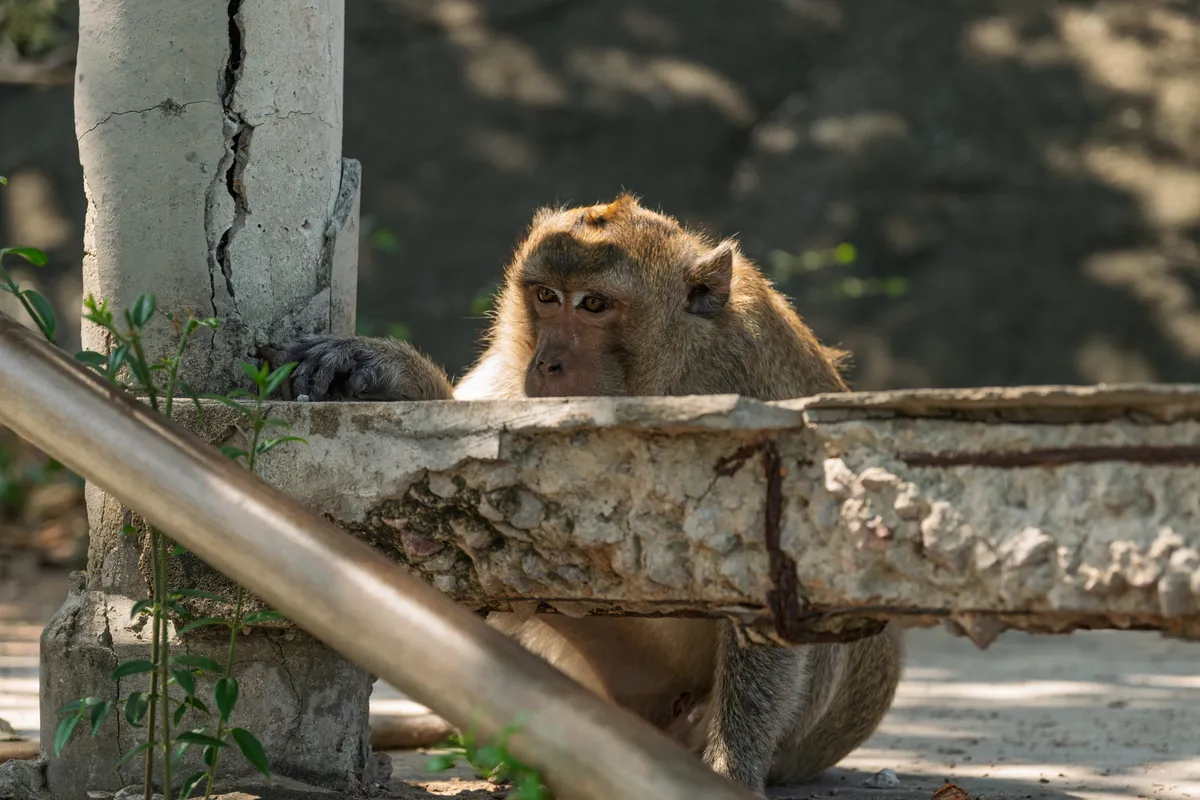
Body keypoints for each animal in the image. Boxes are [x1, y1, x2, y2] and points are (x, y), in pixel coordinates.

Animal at [280, 194, 904, 796]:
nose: (547, 363)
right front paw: (392, 372)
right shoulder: (510, 370)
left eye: (594, 305)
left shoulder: (749, 383)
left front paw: (731, 773)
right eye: (547, 296)